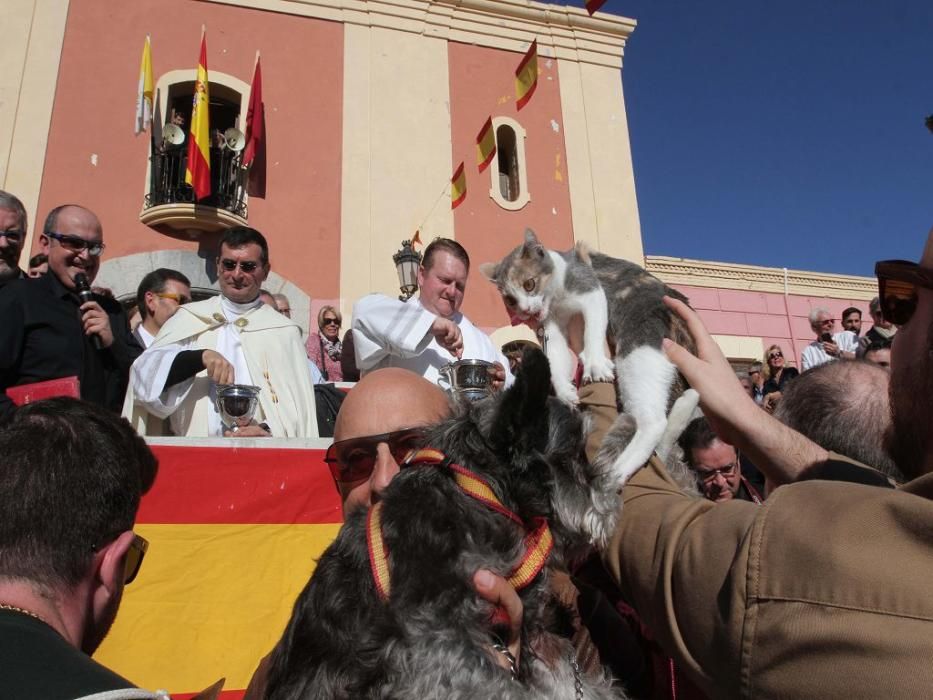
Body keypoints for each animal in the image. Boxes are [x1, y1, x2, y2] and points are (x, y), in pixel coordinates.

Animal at [264, 350, 628, 700]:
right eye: (572, 457)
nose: (615, 497)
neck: (475, 492)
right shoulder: (433, 640)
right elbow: (504, 688)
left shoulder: (532, 633)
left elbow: (573, 681)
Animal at [480, 230, 692, 486]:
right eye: (510, 300)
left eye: (529, 284)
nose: (526, 311)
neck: (558, 298)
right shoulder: (552, 327)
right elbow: (556, 360)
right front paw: (565, 393)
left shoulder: (590, 290)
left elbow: (592, 329)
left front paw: (595, 363)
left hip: (638, 351)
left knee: (654, 422)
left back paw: (617, 471)